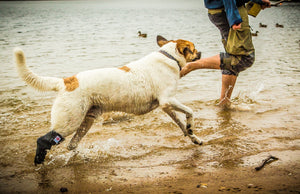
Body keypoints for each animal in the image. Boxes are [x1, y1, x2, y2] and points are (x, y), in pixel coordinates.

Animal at [14, 35, 202, 164]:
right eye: (193, 48)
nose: (201, 52)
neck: (169, 57)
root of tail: (66, 81)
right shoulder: (167, 101)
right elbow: (190, 112)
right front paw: (191, 128)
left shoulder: (166, 106)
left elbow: (181, 124)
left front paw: (193, 137)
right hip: (69, 121)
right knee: (45, 140)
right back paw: (39, 161)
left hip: (86, 120)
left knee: (72, 145)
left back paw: (81, 157)